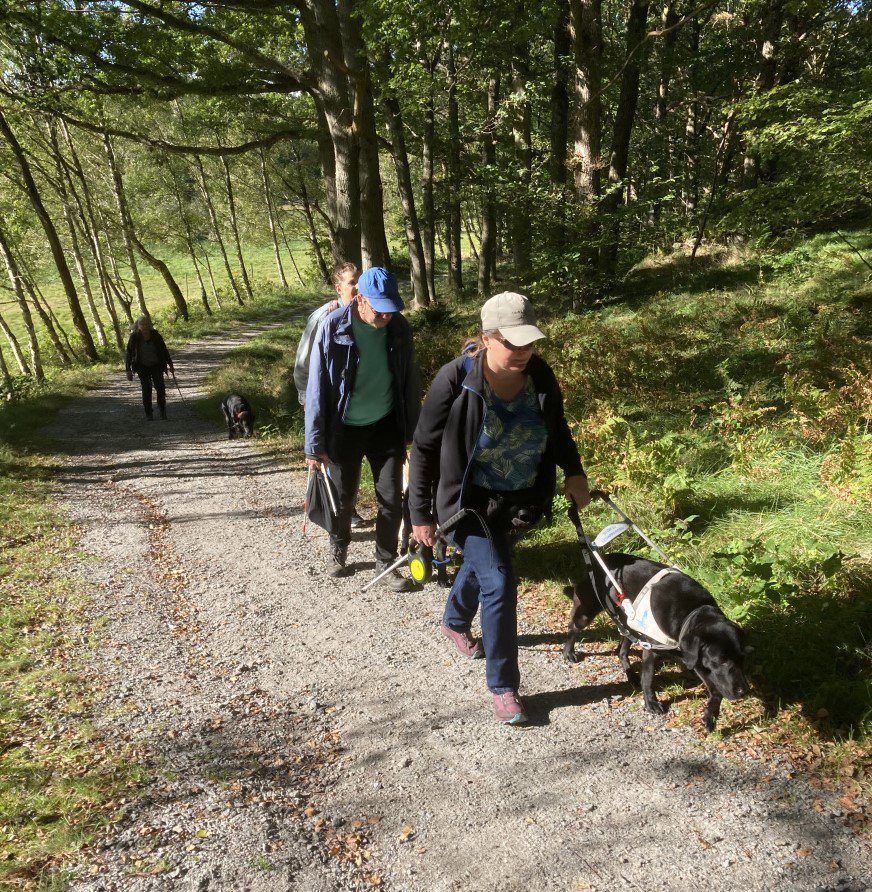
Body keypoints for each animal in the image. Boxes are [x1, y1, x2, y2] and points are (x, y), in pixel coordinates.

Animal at [564, 556, 748, 736]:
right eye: (721, 660)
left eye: (742, 658)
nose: (743, 691)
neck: (690, 613)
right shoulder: (652, 650)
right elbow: (648, 679)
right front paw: (650, 702)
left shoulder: (694, 657)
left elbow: (716, 692)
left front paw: (711, 716)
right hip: (586, 611)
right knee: (573, 627)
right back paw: (568, 651)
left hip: (628, 625)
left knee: (621, 651)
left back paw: (631, 676)